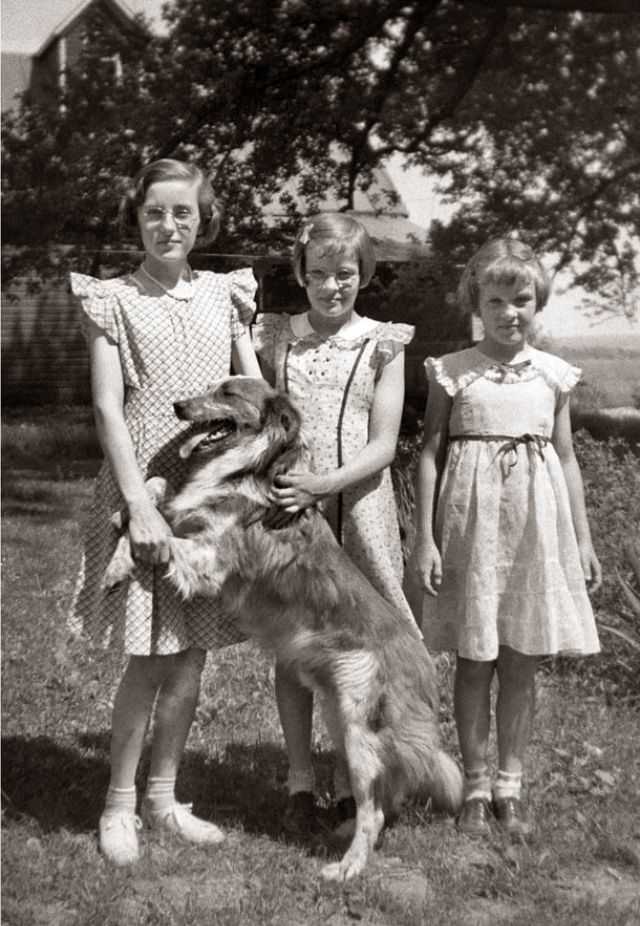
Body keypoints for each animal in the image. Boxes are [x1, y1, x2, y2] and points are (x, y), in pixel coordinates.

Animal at [107, 376, 462, 876]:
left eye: (228, 392)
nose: (178, 405)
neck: (242, 470)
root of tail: (425, 666)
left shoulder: (211, 563)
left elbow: (169, 538)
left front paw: (130, 550)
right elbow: (156, 498)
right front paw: (119, 556)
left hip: (360, 729)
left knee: (374, 810)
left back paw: (347, 867)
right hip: (340, 719)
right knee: (382, 803)